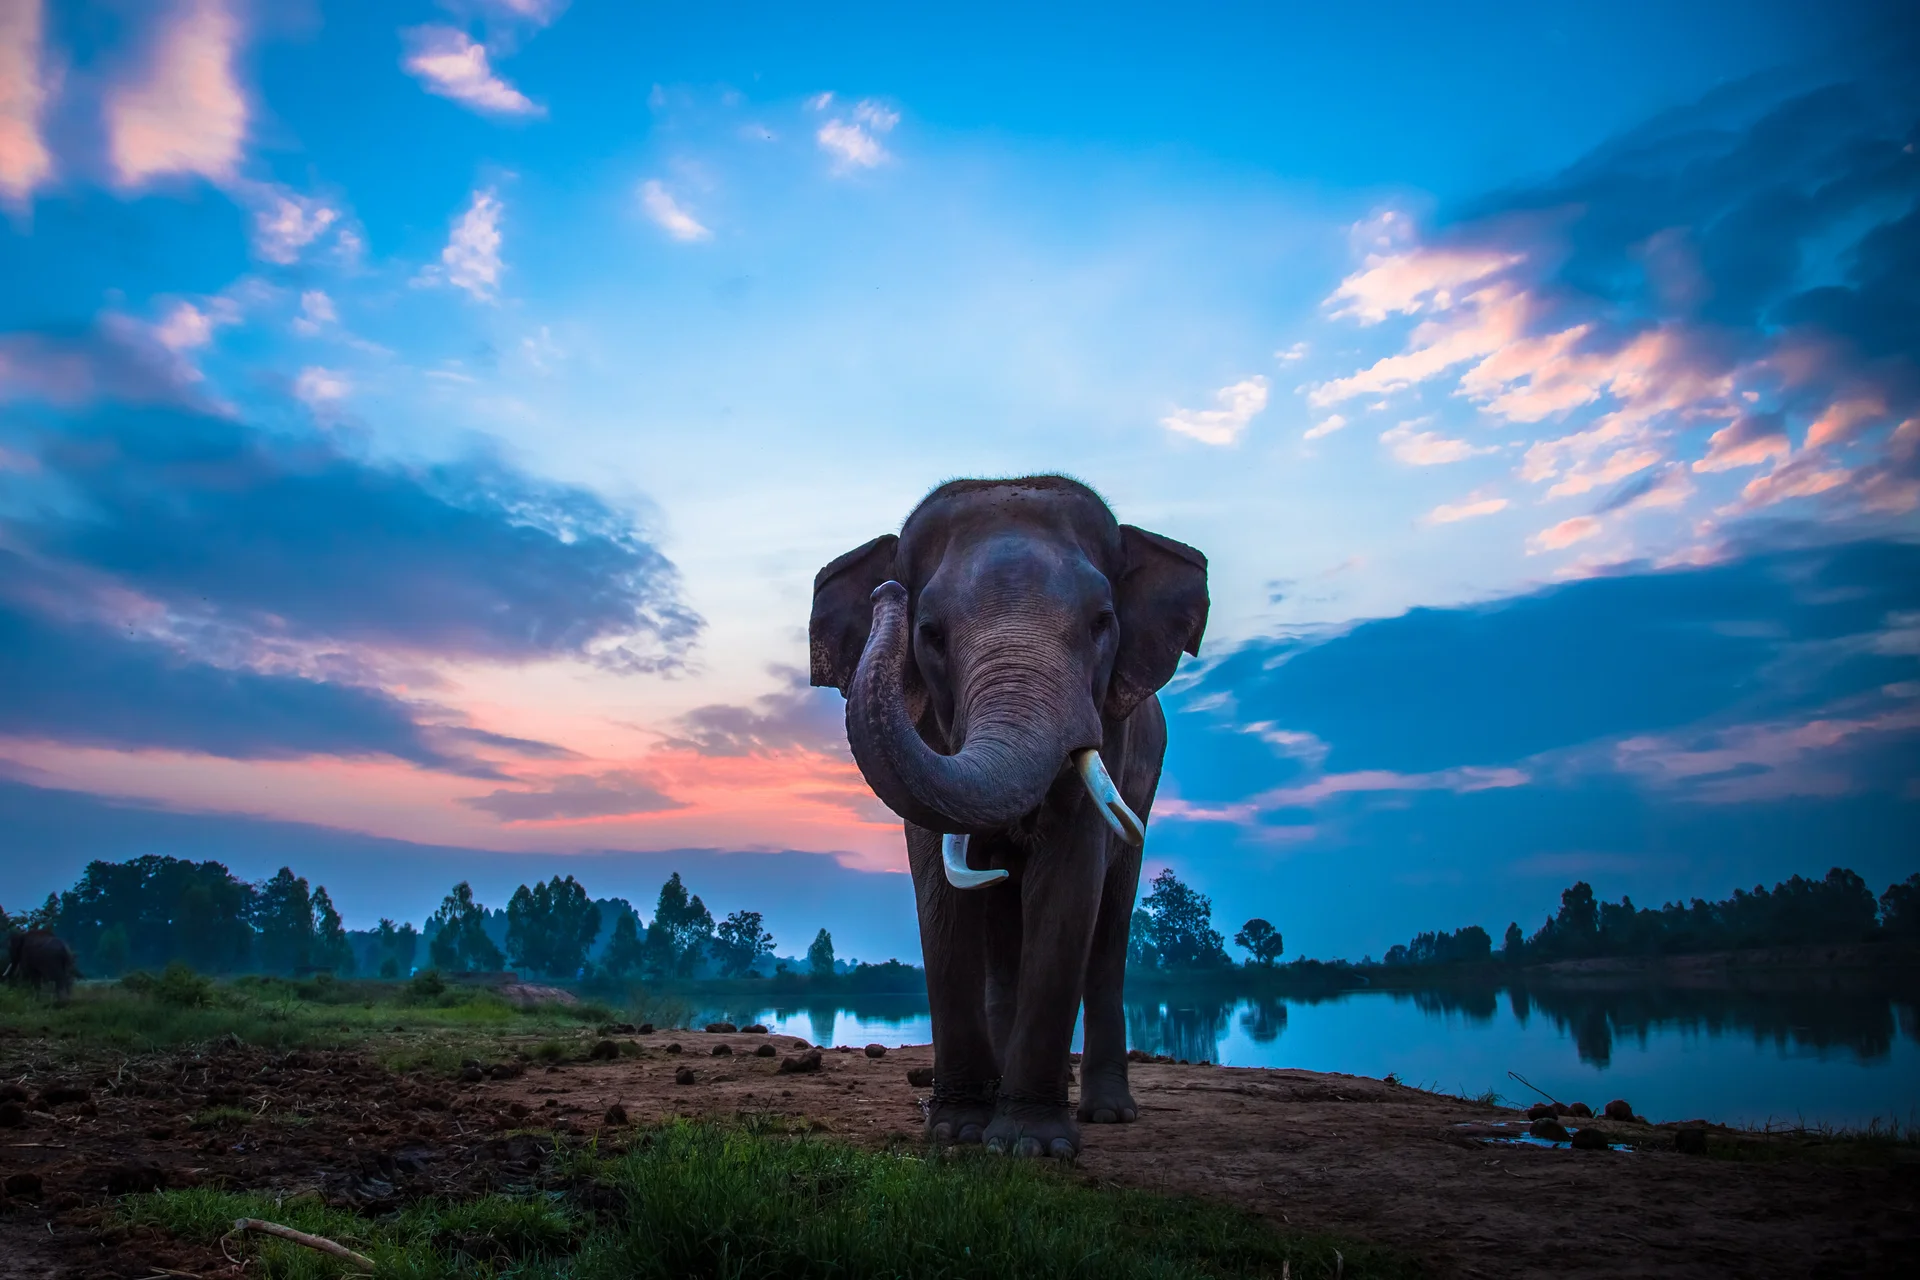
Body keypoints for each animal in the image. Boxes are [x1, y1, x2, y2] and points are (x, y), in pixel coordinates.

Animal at [810, 475, 1207, 1157]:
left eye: (1103, 623)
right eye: (929, 632)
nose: (888, 591)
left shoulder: (1111, 731)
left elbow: (1070, 881)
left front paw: (1031, 1146)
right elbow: (938, 886)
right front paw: (956, 1131)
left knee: (1110, 924)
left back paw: (1107, 1113)